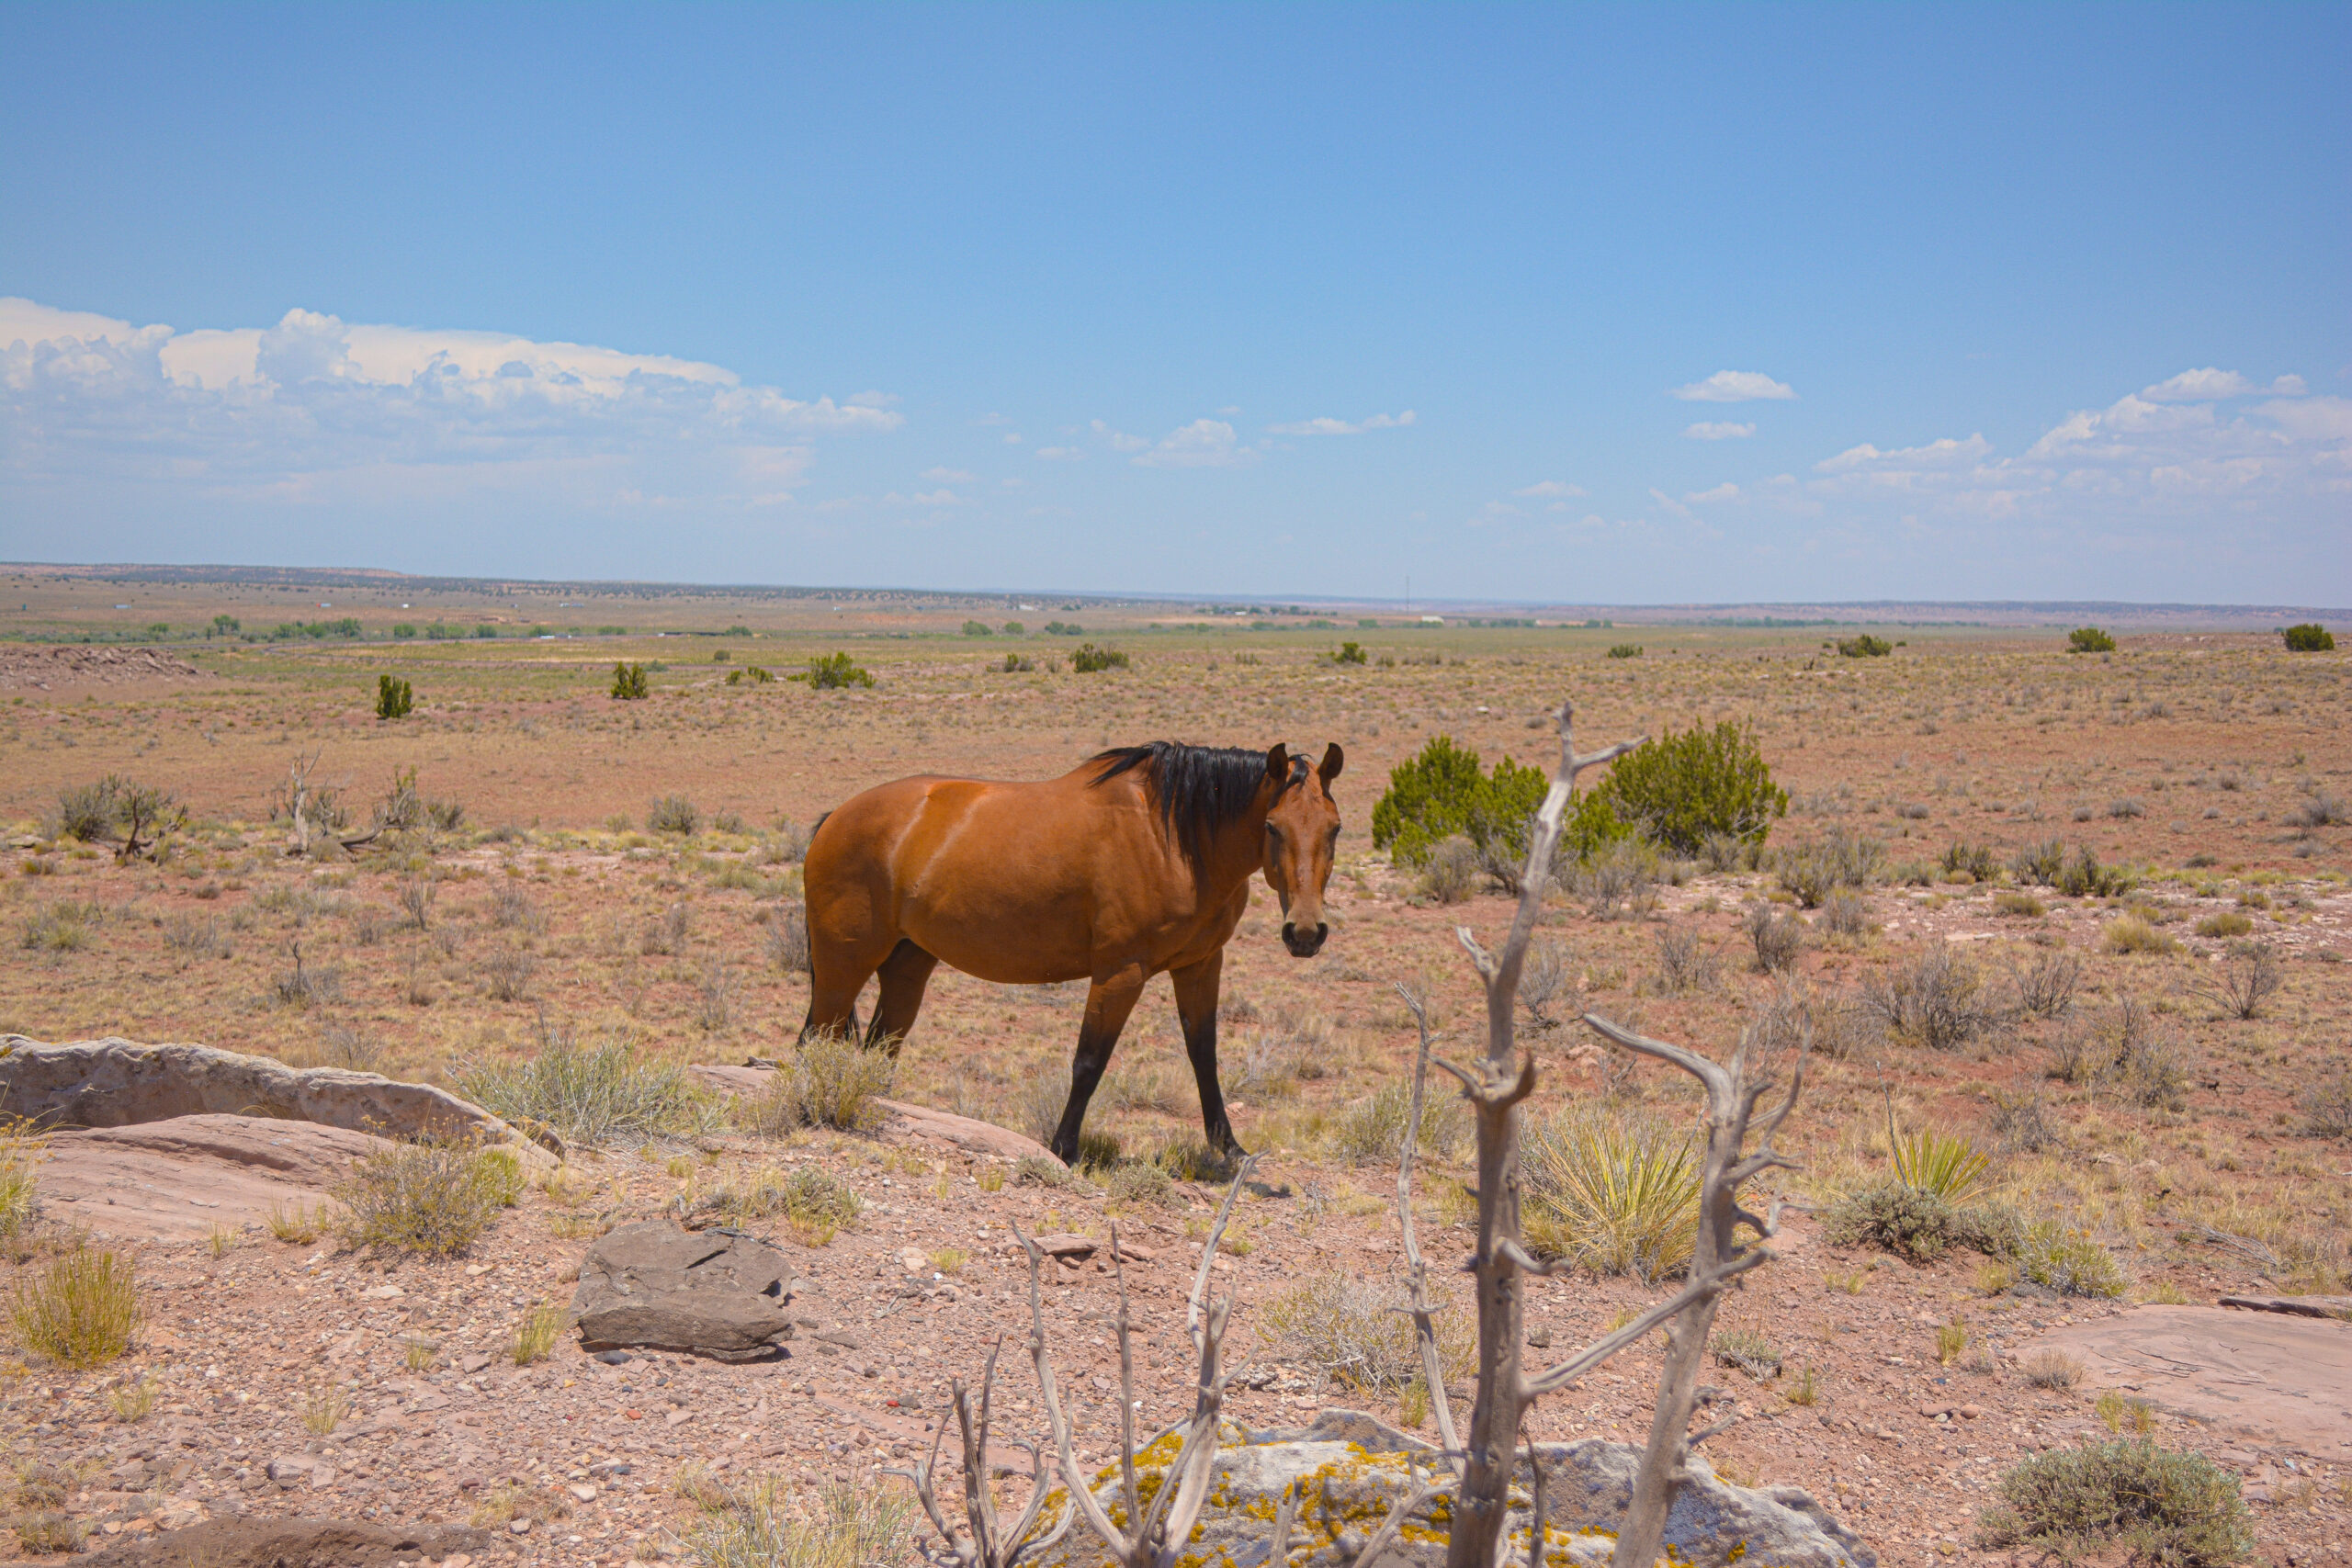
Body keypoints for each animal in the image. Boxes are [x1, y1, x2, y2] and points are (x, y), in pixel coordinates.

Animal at [800, 740, 1344, 1164]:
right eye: (1272, 826)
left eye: (1334, 827)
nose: (1305, 932)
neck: (1175, 838)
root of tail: (834, 819)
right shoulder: (1120, 971)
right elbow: (1089, 1060)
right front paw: (1064, 1148)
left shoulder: (1200, 964)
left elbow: (1203, 1055)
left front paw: (1229, 1148)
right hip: (844, 962)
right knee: (816, 1038)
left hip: (908, 962)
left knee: (879, 1046)